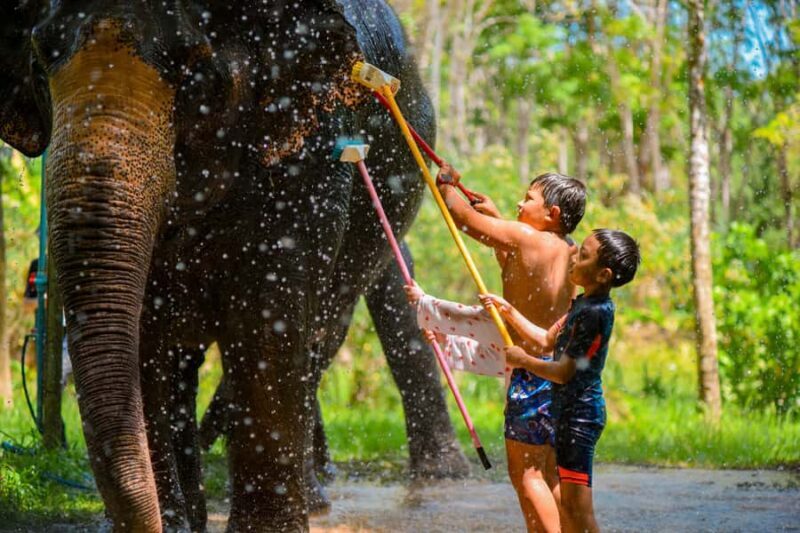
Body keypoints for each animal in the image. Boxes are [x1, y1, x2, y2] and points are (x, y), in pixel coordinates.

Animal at [1, 1, 470, 531]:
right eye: (36, 66)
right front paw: (177, 521)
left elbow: (266, 313)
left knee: (323, 332)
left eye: (198, 80)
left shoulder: (310, 145)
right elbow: (146, 331)